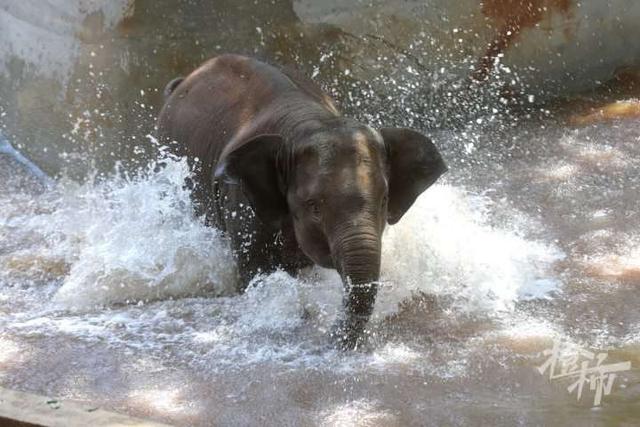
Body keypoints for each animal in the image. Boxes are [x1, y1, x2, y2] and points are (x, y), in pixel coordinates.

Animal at [156, 54, 444, 352]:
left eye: (384, 200)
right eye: (314, 206)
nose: (329, 337)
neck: (308, 119)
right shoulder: (239, 200)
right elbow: (253, 270)